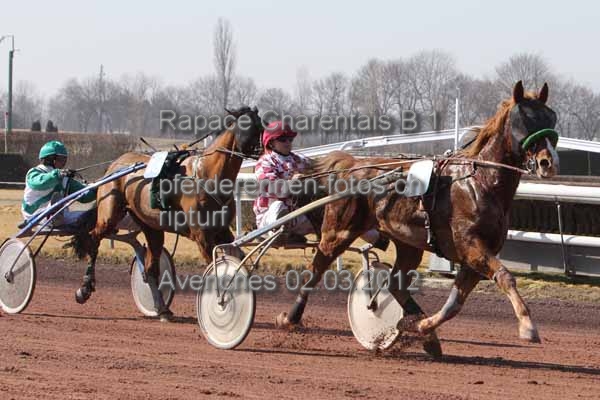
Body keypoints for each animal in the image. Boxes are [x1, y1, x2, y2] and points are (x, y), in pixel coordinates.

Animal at [71, 105, 262, 318]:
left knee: (150, 268)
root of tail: (114, 165)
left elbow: (237, 258)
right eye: (247, 126)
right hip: (109, 215)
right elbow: (213, 267)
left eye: (262, 125)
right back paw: (85, 288)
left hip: (150, 226)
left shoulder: (222, 231)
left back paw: (161, 308)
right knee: (94, 237)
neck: (207, 175)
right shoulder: (202, 235)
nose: (265, 148)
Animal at [278, 81, 564, 356]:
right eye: (523, 119)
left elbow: (454, 305)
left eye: (551, 117)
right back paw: (290, 318)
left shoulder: (475, 258)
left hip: (408, 243)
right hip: (339, 232)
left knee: (395, 284)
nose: (548, 162)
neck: (479, 183)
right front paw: (528, 326)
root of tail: (350, 166)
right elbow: (505, 276)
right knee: (316, 269)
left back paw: (422, 331)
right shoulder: (471, 247)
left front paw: (421, 327)